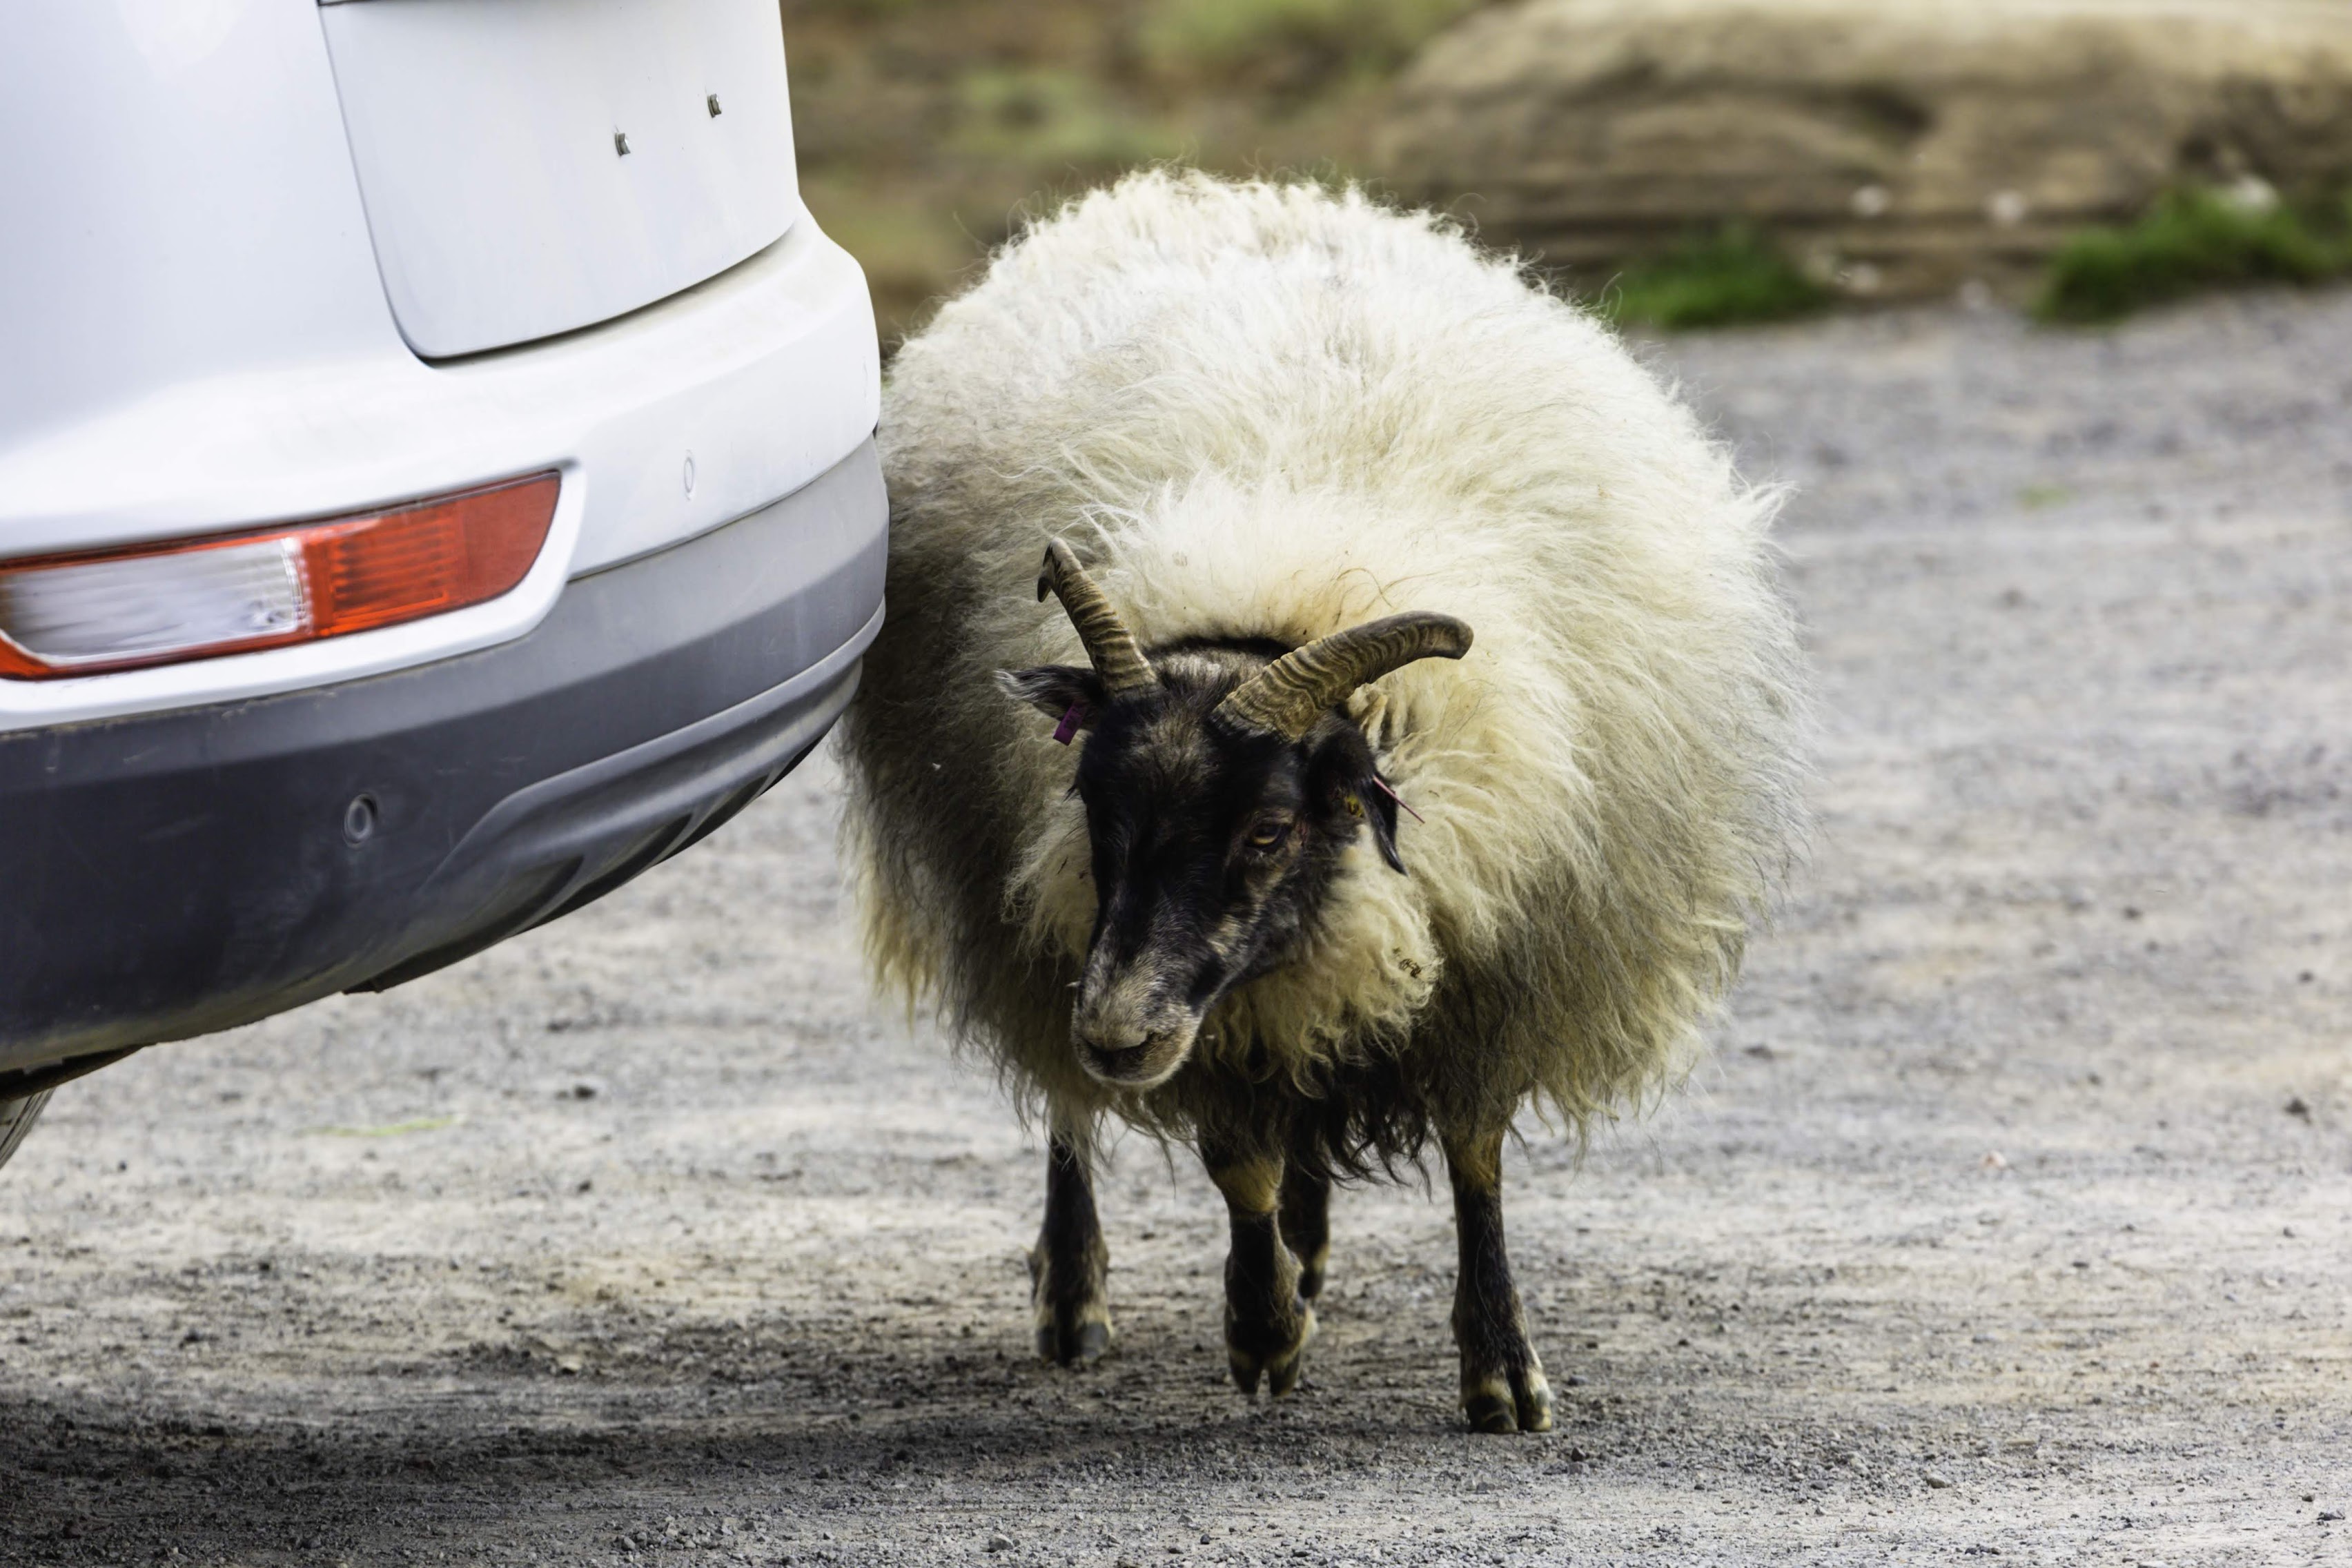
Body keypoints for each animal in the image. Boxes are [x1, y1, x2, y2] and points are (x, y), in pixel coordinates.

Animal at [837, 171, 1806, 1438]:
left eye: (1267, 831)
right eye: (1092, 813)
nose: (1119, 1033)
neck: (1283, 589)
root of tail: (1200, 194)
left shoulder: (1497, 957)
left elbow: (1475, 1156)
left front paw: (1500, 1365)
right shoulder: (1171, 988)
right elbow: (1236, 1168)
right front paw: (1261, 1330)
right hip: (1038, 944)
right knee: (1068, 1111)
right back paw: (1079, 1288)